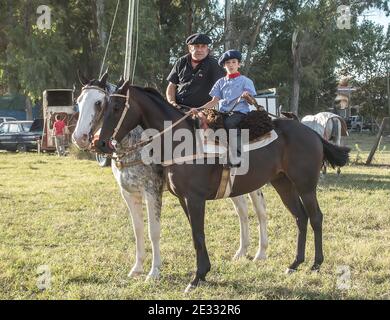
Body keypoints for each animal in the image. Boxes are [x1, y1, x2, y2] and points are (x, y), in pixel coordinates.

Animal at [96, 80, 350, 292]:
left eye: (117, 107)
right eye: (102, 106)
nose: (99, 142)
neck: (184, 142)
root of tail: (312, 133)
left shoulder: (194, 198)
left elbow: (198, 234)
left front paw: (197, 278)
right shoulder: (183, 199)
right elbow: (196, 234)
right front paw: (203, 273)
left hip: (305, 185)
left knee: (315, 217)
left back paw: (316, 264)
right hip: (283, 184)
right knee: (300, 217)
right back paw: (295, 263)